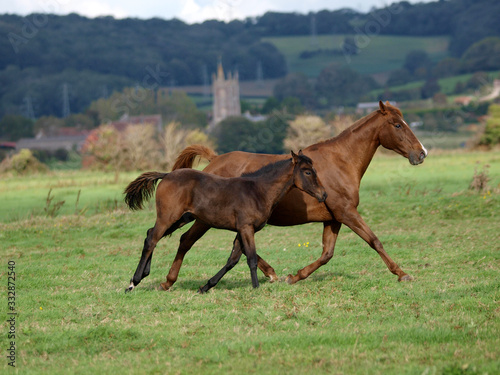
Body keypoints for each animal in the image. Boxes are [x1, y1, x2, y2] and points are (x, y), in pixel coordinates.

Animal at [124, 151, 326, 292]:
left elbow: (233, 260)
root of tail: (166, 175)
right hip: (168, 217)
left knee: (151, 234)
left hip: (181, 218)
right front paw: (256, 288)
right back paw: (133, 282)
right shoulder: (246, 228)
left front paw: (206, 287)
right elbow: (251, 258)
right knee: (152, 240)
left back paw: (145, 276)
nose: (323, 194)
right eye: (308, 172)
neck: (257, 191)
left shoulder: (242, 230)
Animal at [162, 100, 428, 290]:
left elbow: (327, 254)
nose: (421, 153)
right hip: (204, 219)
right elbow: (374, 241)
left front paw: (295, 276)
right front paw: (402, 273)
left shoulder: (333, 219)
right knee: (186, 240)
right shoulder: (347, 213)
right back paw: (168, 281)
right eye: (397, 124)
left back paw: (271, 274)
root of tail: (214, 161)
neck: (340, 161)